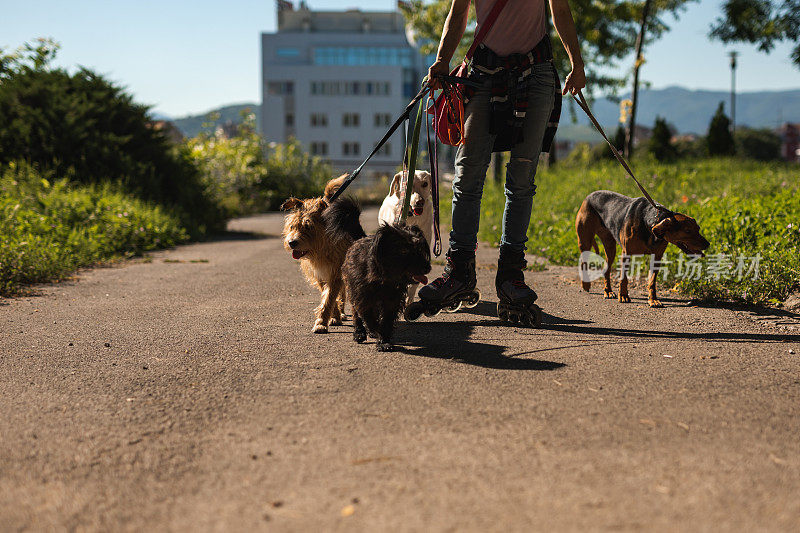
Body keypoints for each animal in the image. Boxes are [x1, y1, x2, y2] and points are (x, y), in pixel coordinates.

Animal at [280, 177, 364, 330]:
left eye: (308, 226)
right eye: (292, 226)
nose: (291, 242)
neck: (322, 249)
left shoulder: (336, 273)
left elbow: (329, 297)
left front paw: (321, 323)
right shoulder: (319, 275)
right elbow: (328, 296)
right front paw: (333, 317)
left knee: (343, 292)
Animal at [342, 223, 432, 352]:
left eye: (419, 247)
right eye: (404, 250)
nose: (427, 267)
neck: (383, 277)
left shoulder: (392, 301)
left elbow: (386, 321)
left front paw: (383, 341)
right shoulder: (362, 298)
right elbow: (368, 317)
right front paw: (375, 331)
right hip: (353, 291)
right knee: (356, 314)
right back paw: (359, 333)